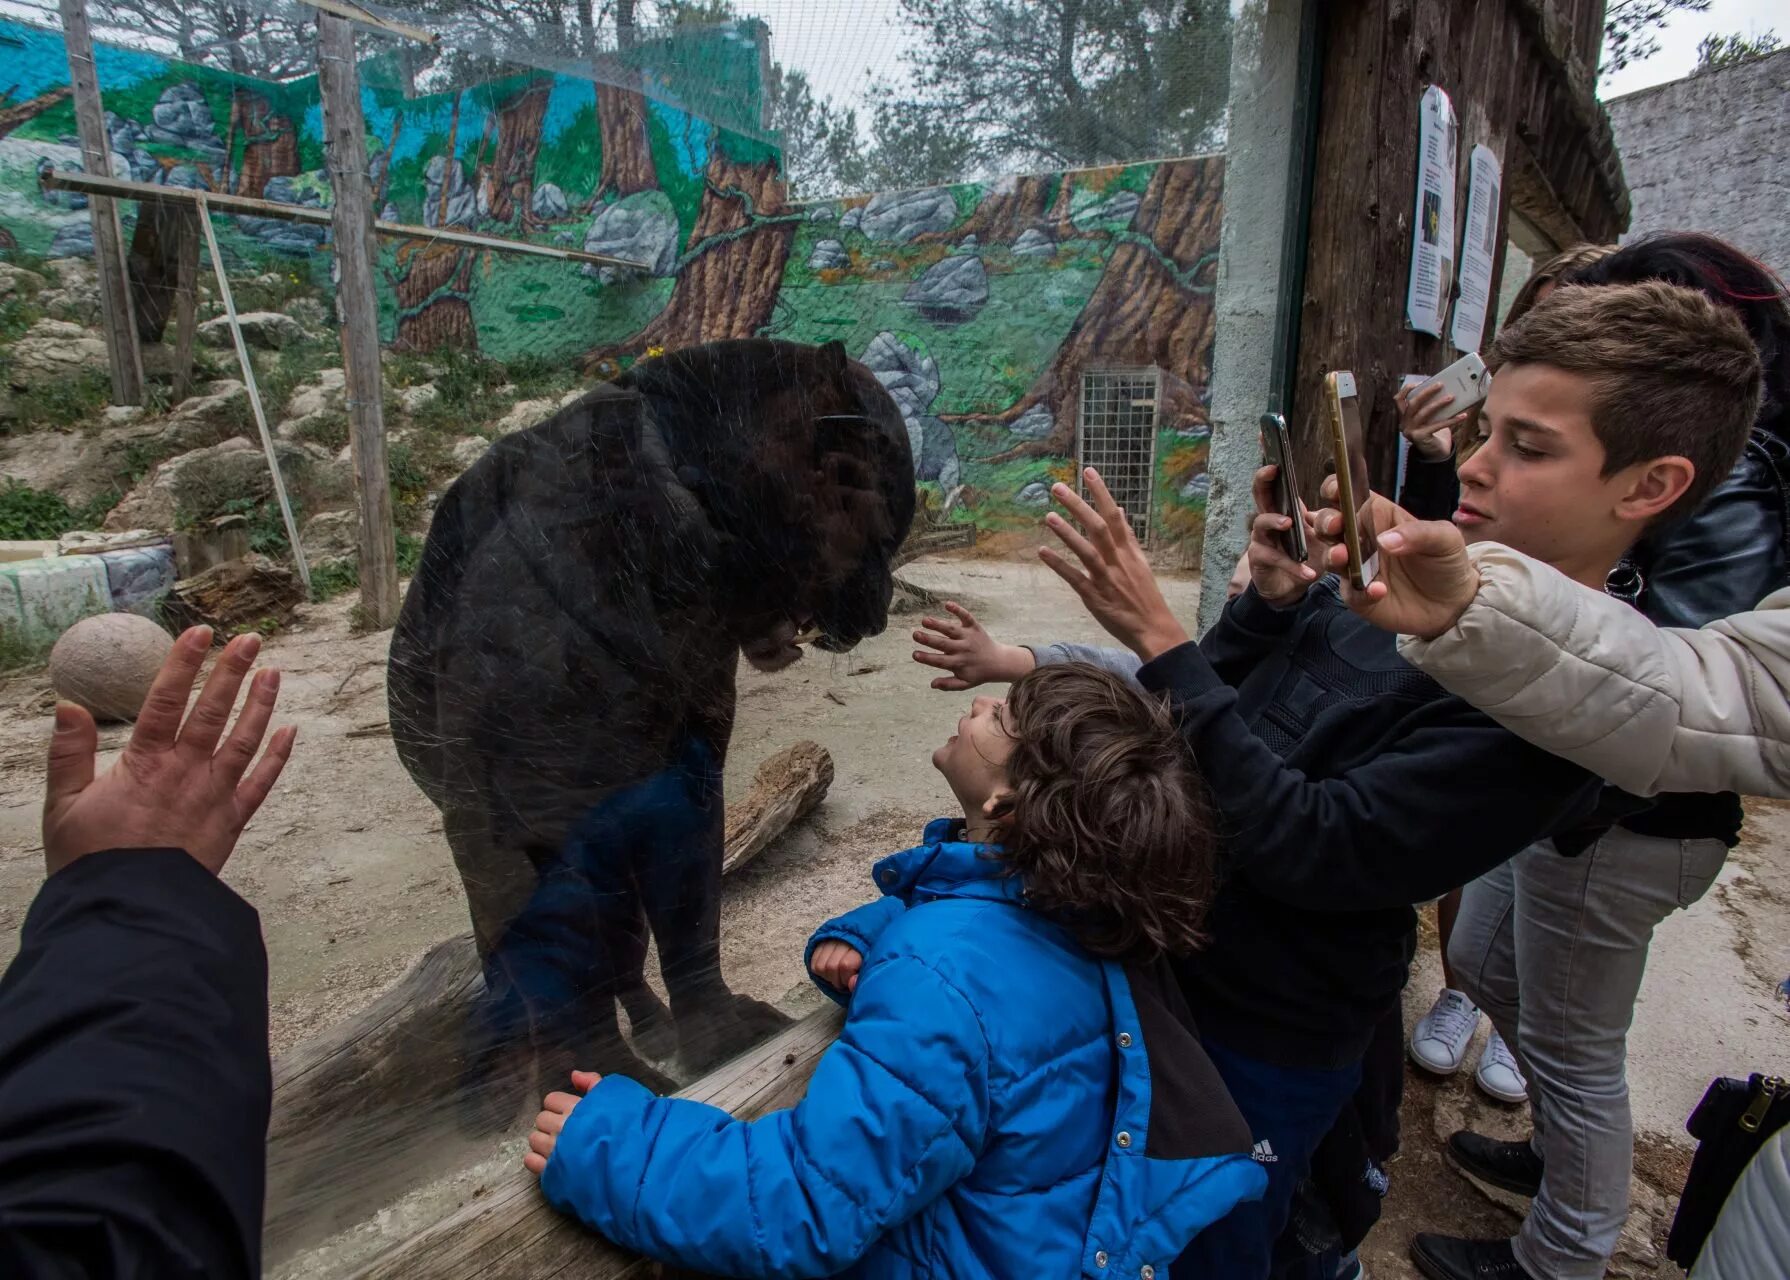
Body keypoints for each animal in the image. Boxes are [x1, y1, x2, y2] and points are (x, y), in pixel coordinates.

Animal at [386, 338, 916, 1088]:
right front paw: (594, 1080)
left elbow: (691, 917)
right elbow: (556, 975)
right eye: (890, 513)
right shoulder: (505, 829)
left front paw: (720, 1039)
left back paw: (654, 1028)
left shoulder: (686, 779)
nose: (885, 605)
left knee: (623, 952)